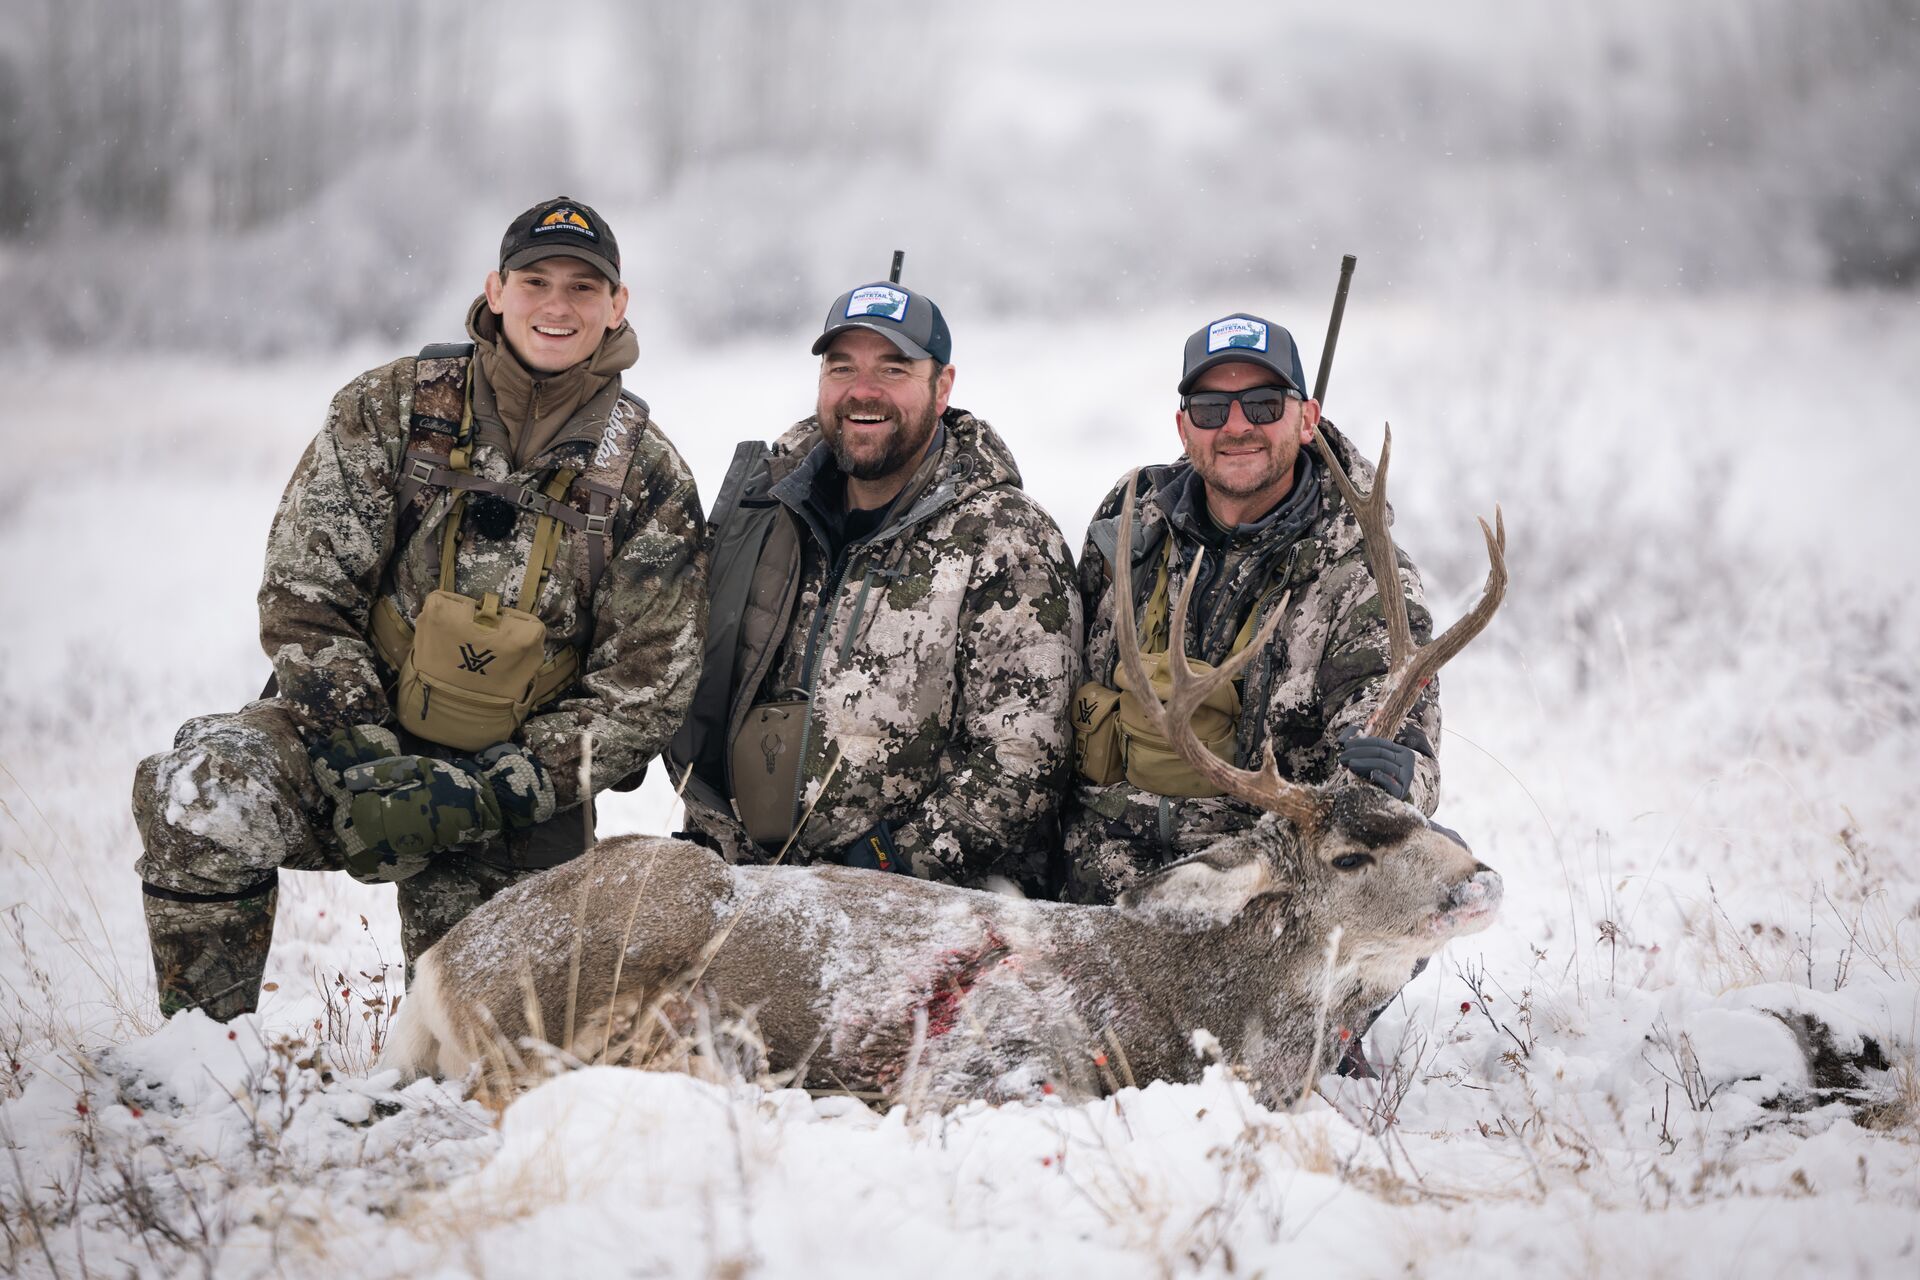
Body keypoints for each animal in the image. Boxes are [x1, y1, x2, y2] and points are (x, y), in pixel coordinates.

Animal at [381, 426, 1508, 1110]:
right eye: (1353, 855)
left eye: (1425, 822)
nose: (1482, 878)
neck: (1190, 1008)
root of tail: (441, 968)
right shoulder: (987, 1068)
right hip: (574, 981)